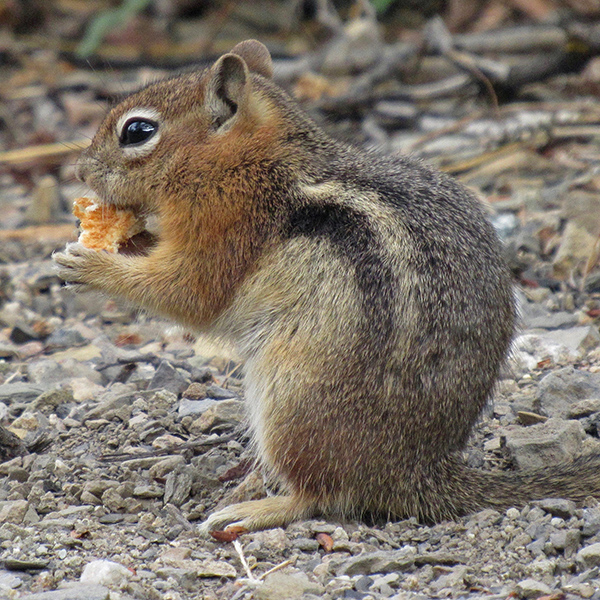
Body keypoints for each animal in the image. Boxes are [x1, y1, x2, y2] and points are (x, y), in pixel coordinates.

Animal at [54, 38, 600, 536]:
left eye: (137, 131)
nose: (80, 169)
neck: (249, 163)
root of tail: (418, 472)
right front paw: (125, 236)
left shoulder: (224, 228)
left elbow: (190, 292)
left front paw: (88, 264)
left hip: (289, 397)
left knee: (321, 495)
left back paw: (254, 509)